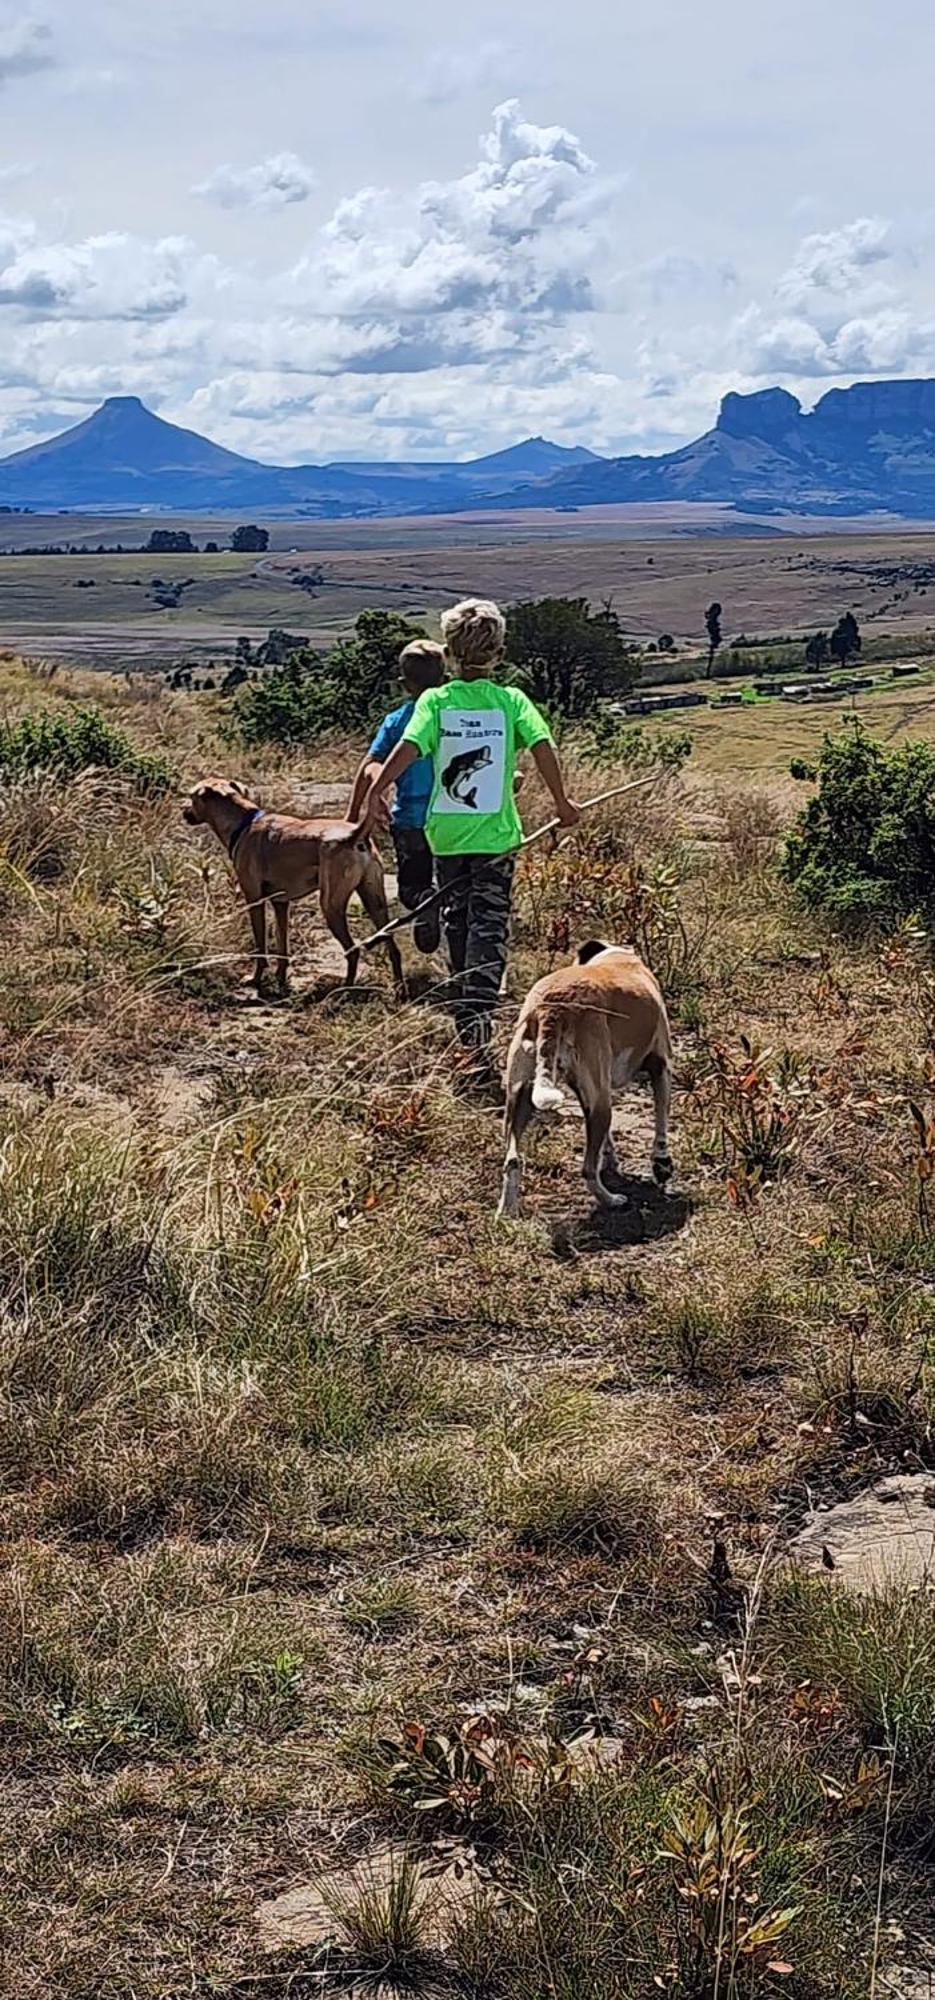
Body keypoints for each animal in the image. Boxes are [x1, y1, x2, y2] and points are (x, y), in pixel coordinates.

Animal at [182, 780, 401, 1000]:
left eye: (192, 796)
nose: (183, 811)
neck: (244, 823)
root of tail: (355, 835)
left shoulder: (254, 900)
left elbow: (260, 946)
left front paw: (255, 979)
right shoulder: (281, 904)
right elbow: (282, 948)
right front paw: (280, 980)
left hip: (331, 906)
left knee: (353, 951)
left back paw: (343, 992)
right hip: (375, 903)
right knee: (393, 948)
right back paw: (399, 990)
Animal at [497, 940, 671, 1216]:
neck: (616, 956)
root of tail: (552, 1005)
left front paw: (611, 1158)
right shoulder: (661, 1066)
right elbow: (661, 1121)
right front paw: (661, 1163)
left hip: (519, 1098)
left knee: (512, 1160)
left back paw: (506, 1213)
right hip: (600, 1105)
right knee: (587, 1169)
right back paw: (611, 1200)